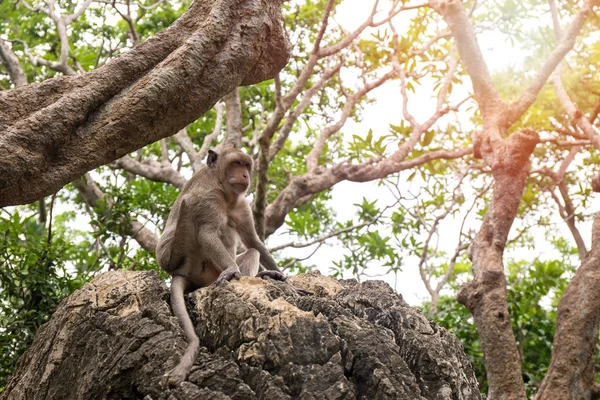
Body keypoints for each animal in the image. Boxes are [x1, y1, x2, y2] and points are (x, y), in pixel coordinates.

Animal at [155, 142, 296, 386]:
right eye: (236, 163)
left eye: (247, 165)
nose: (245, 175)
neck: (224, 191)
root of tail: (180, 271)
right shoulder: (206, 199)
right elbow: (207, 233)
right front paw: (231, 271)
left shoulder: (242, 204)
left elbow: (253, 242)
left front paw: (282, 276)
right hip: (185, 256)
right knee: (189, 208)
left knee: (251, 251)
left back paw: (259, 276)